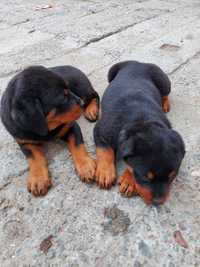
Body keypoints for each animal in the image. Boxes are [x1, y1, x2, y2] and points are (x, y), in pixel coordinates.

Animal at [0, 65, 99, 197]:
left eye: (68, 91)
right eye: (63, 98)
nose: (81, 103)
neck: (47, 127)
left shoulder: (70, 126)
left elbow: (78, 145)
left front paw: (86, 166)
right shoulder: (24, 141)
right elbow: (34, 158)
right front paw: (38, 179)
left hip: (82, 88)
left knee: (94, 95)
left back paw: (91, 110)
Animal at [94, 61, 184, 206]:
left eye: (172, 177)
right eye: (145, 177)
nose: (158, 202)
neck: (141, 119)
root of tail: (136, 62)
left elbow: (130, 163)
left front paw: (129, 181)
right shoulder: (100, 130)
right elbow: (104, 150)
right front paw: (105, 172)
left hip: (164, 82)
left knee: (164, 93)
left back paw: (165, 103)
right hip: (111, 73)